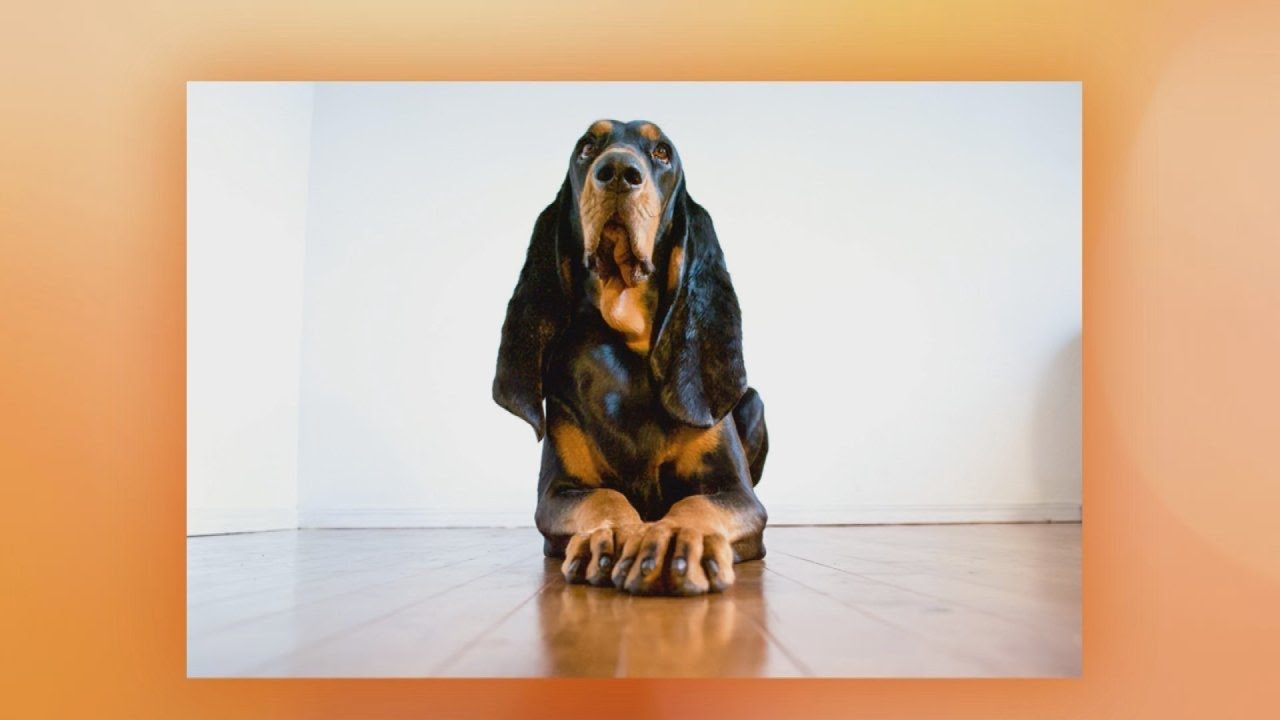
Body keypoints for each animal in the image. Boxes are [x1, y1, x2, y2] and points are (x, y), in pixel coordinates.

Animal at [494, 119, 762, 594]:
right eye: (586, 147)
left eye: (661, 152)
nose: (619, 171)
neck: (628, 346)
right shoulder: (558, 492)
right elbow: (604, 497)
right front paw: (617, 533)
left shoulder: (737, 493)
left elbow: (696, 506)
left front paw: (674, 540)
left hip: (755, 402)